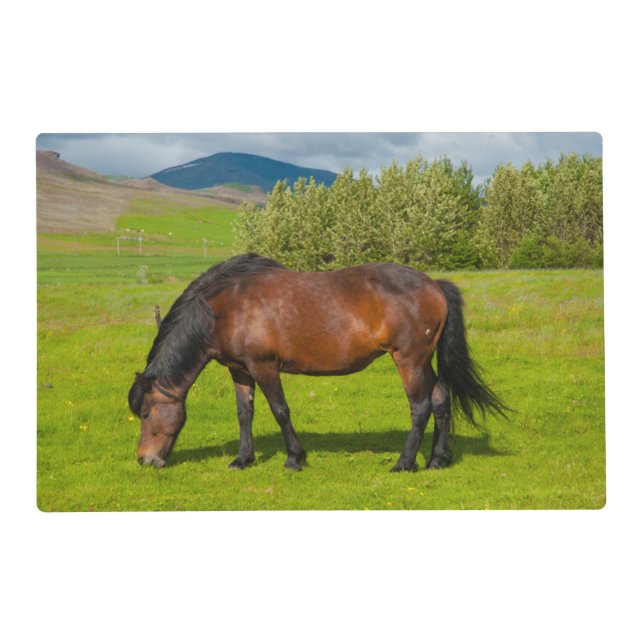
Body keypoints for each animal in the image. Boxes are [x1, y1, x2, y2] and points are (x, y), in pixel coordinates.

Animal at [128, 253, 508, 472]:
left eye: (145, 414)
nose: (145, 459)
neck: (226, 308)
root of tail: (434, 285)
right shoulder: (240, 370)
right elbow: (244, 414)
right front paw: (243, 459)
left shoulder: (264, 366)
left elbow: (280, 411)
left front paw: (295, 458)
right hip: (423, 361)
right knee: (441, 398)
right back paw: (437, 460)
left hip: (410, 361)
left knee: (421, 407)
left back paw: (404, 463)